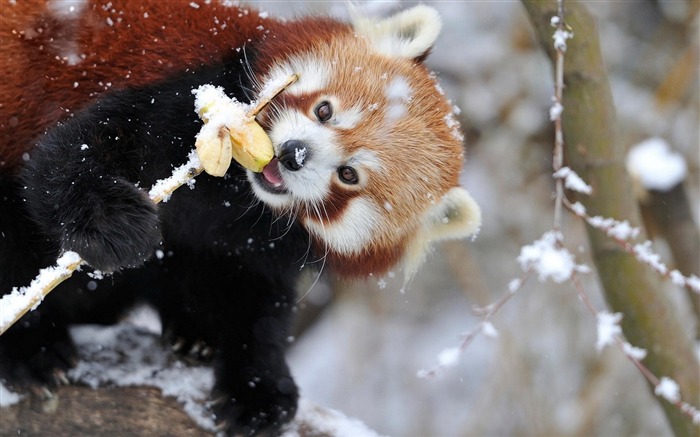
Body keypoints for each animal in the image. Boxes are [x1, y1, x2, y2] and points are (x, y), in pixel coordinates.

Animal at [0, 2, 482, 432]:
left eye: (349, 175)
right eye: (324, 110)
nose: (293, 154)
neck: (236, 196)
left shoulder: (259, 243)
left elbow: (254, 301)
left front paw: (259, 389)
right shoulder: (190, 95)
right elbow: (73, 153)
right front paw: (114, 224)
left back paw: (192, 332)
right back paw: (30, 348)